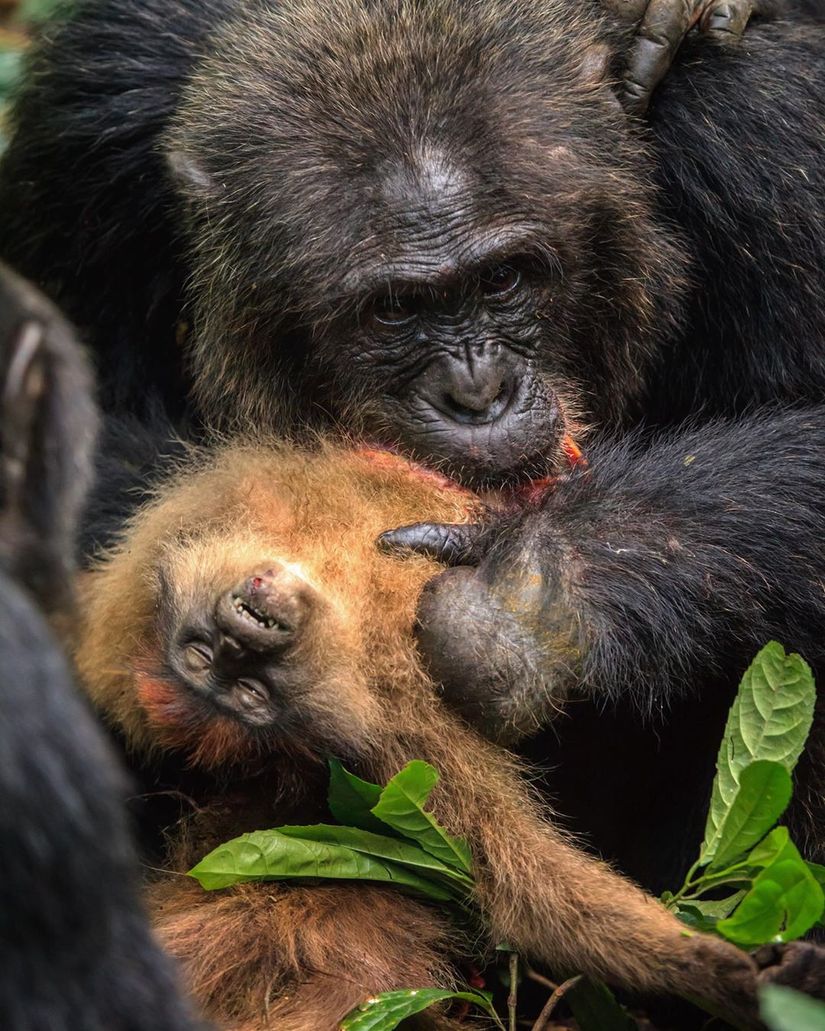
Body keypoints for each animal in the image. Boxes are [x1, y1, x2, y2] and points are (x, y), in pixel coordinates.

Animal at [72, 443, 775, 1031]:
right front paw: (719, 972)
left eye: (219, 666)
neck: (329, 577)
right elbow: (525, 887)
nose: (243, 642)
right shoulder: (404, 730)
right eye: (245, 692)